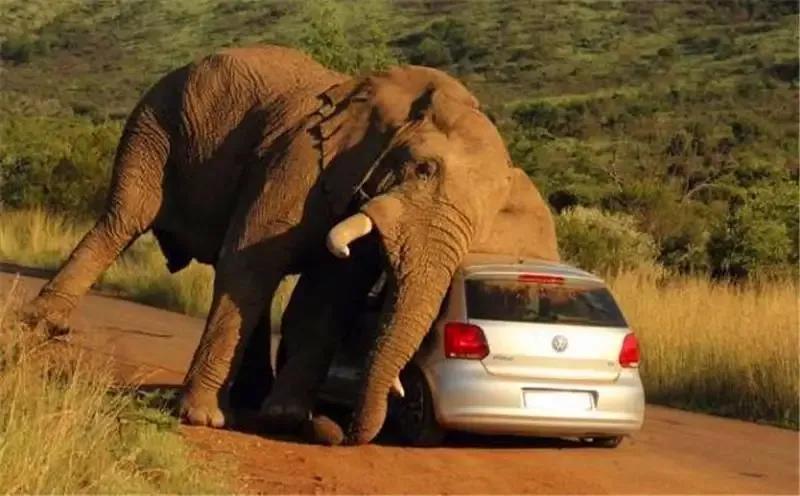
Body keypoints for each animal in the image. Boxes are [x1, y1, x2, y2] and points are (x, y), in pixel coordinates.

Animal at [26, 44, 564, 444]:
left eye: (490, 214)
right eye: (423, 168)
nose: (334, 430)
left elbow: (327, 294)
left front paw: (284, 417)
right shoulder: (303, 159)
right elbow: (251, 262)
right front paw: (204, 419)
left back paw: (252, 400)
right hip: (156, 121)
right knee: (124, 220)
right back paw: (43, 327)